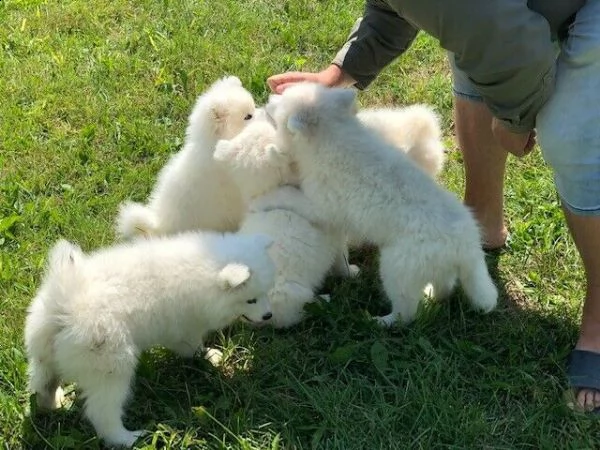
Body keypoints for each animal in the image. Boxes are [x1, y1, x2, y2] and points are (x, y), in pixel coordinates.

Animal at [23, 232, 276, 446]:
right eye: (250, 300)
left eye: (265, 294)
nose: (268, 315)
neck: (204, 270)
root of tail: (64, 306)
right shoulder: (184, 327)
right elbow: (192, 345)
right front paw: (210, 356)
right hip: (110, 366)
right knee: (102, 412)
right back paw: (127, 438)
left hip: (44, 356)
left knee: (43, 384)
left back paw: (52, 403)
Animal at [266, 81, 496, 326]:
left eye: (280, 104)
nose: (268, 98)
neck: (332, 136)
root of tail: (468, 248)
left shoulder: (321, 206)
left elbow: (291, 198)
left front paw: (270, 196)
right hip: (431, 267)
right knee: (444, 287)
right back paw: (431, 297)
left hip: (397, 268)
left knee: (407, 312)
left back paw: (380, 321)